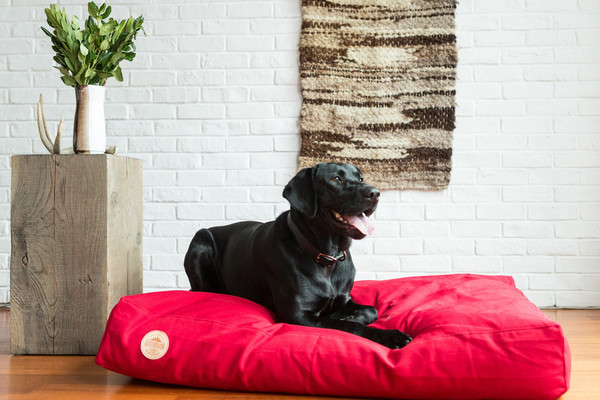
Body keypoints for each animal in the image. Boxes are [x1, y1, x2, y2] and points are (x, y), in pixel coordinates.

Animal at [184, 163, 412, 349]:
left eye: (360, 178)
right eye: (335, 179)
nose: (375, 193)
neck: (327, 257)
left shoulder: (345, 298)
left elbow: (371, 310)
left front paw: (350, 315)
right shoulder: (297, 315)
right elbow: (346, 326)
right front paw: (390, 335)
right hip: (200, 240)